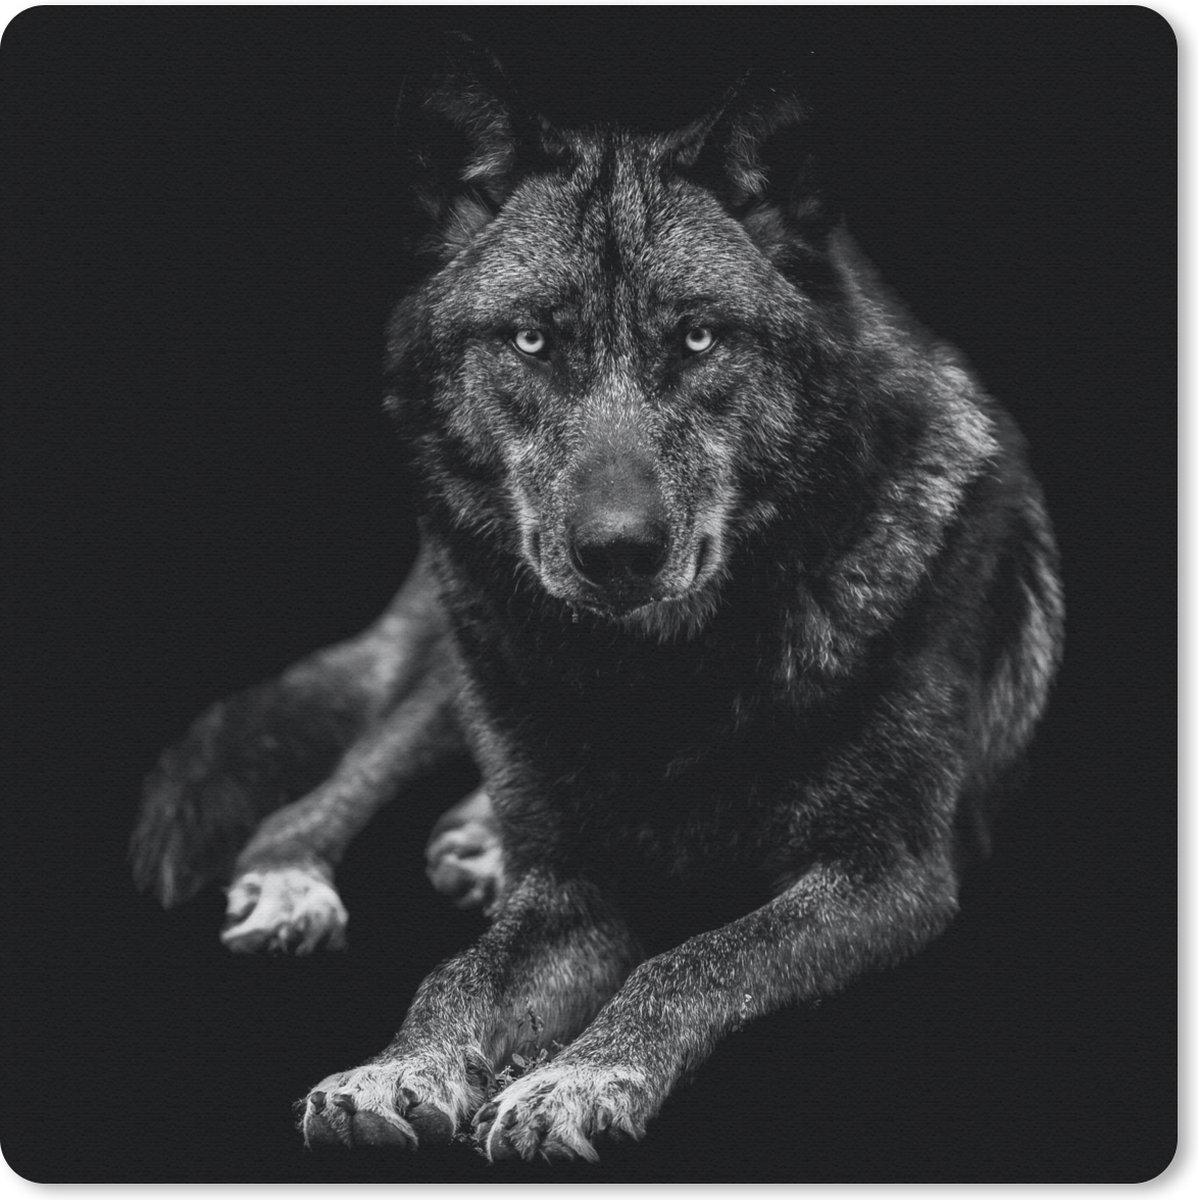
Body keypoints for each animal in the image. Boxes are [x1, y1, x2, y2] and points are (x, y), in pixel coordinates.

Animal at [130, 38, 1063, 1163]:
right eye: (533, 342)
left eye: (699, 339)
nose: (618, 552)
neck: (659, 682)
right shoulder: (576, 886)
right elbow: (460, 972)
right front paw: (397, 1068)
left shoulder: (890, 873)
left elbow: (698, 957)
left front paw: (574, 1078)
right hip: (464, 662)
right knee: (323, 790)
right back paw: (299, 878)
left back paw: (475, 846)